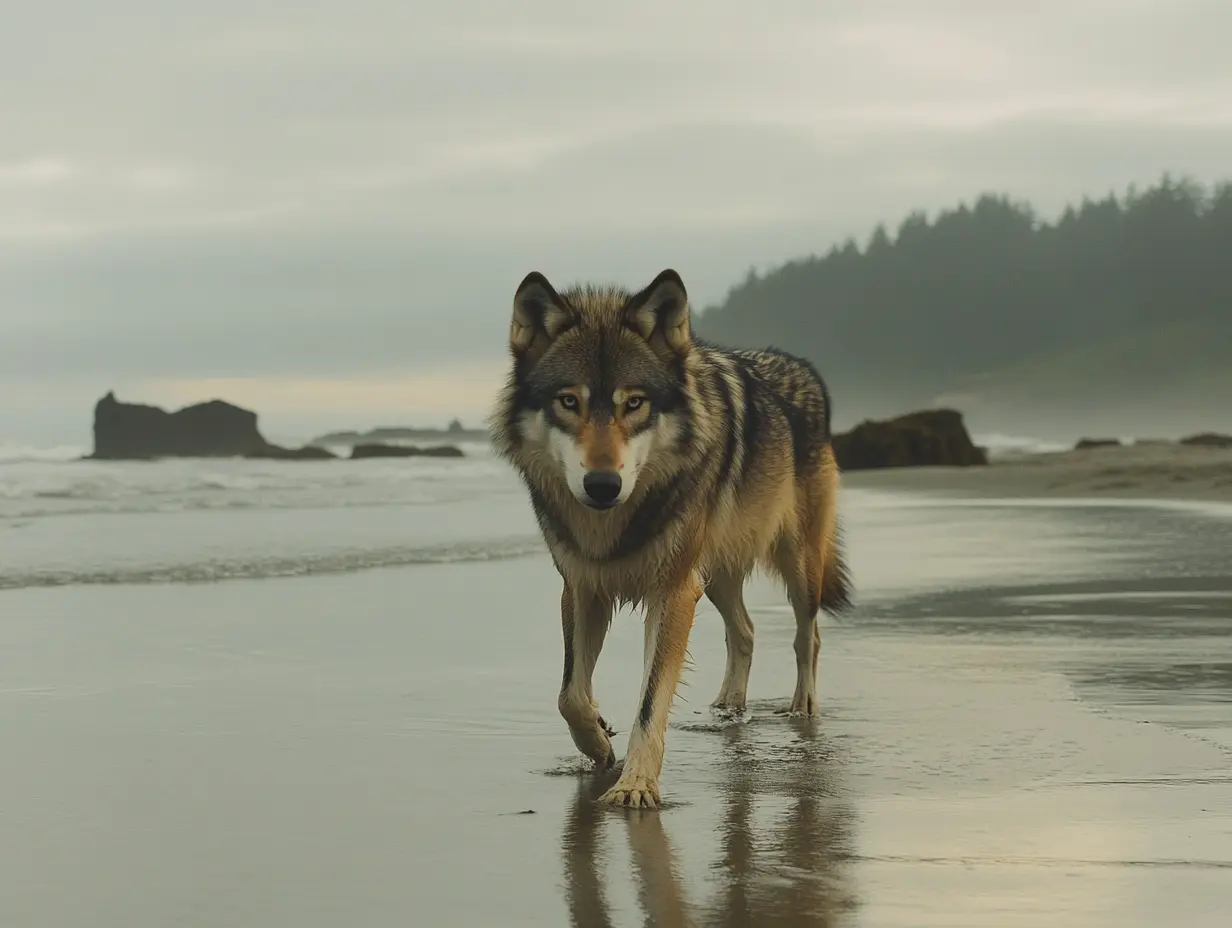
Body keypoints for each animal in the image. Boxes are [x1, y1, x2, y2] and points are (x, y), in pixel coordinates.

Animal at [488, 268, 852, 808]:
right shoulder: (583, 586)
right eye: (569, 401)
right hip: (716, 576)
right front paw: (599, 743)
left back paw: (802, 707)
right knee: (745, 630)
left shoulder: (672, 592)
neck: (612, 524)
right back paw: (728, 708)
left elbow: (649, 701)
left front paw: (636, 786)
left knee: (808, 635)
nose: (602, 485)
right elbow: (569, 694)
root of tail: (800, 366)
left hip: (798, 567)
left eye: (634, 402)